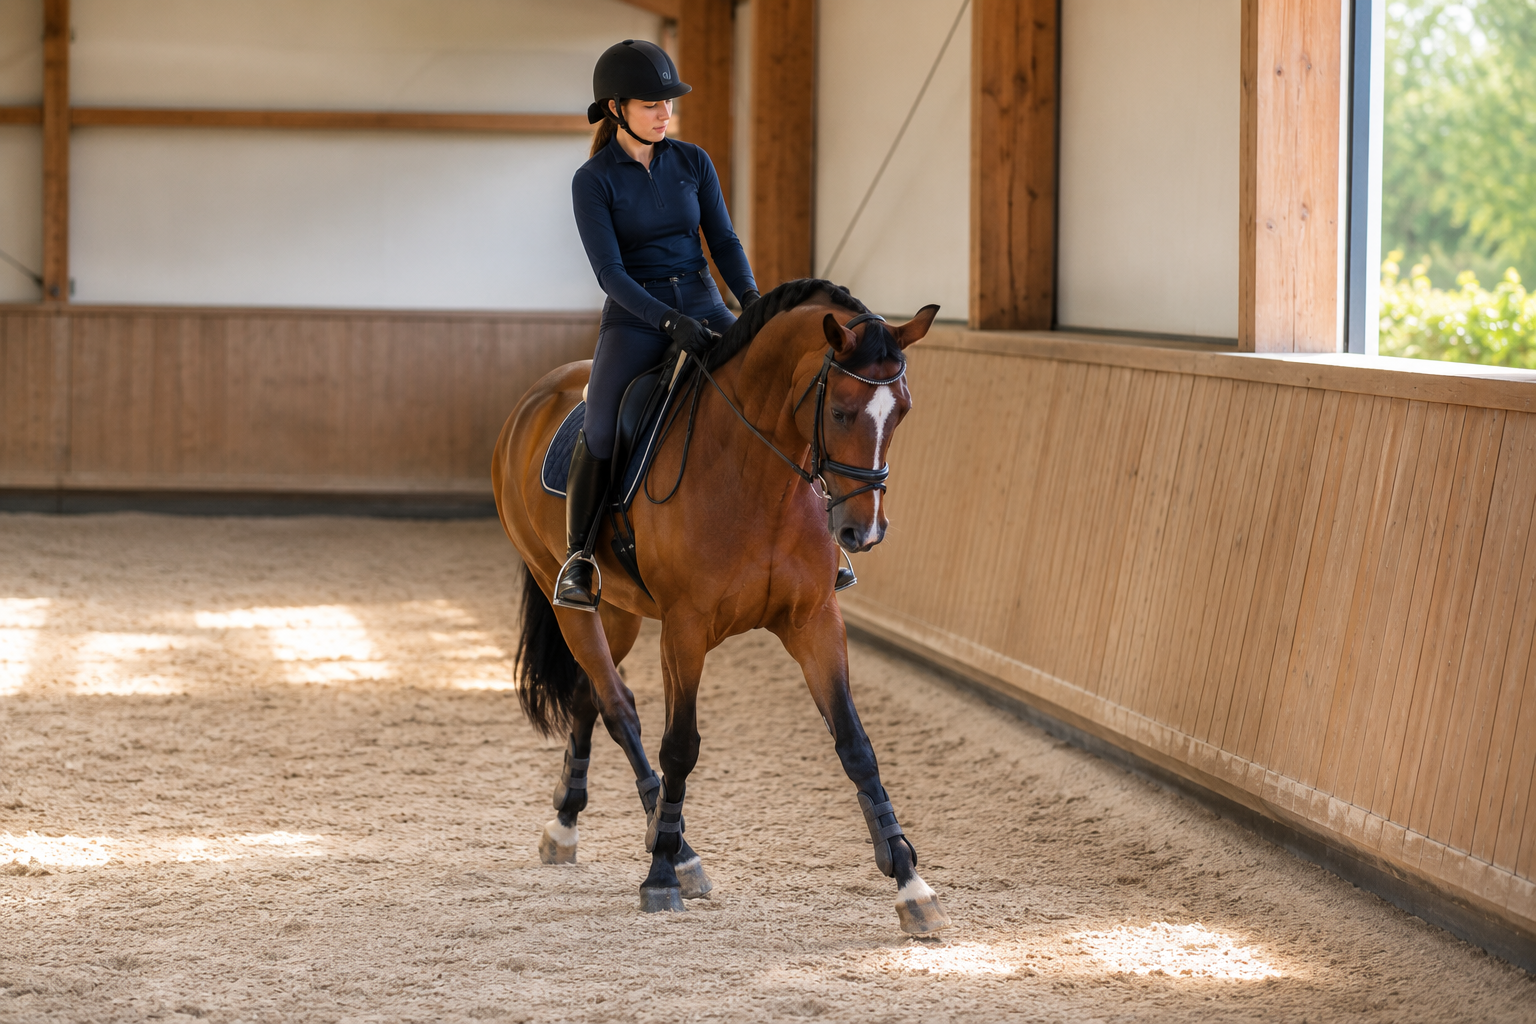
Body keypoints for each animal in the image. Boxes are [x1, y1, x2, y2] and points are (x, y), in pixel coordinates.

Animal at [491, 278, 948, 935]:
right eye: (839, 411)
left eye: (903, 411)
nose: (863, 532)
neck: (759, 479)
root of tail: (535, 395)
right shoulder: (684, 629)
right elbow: (680, 745)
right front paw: (659, 875)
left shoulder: (814, 620)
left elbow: (856, 745)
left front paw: (911, 883)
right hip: (568, 596)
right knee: (618, 705)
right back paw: (673, 848)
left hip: (620, 611)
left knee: (588, 694)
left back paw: (570, 824)